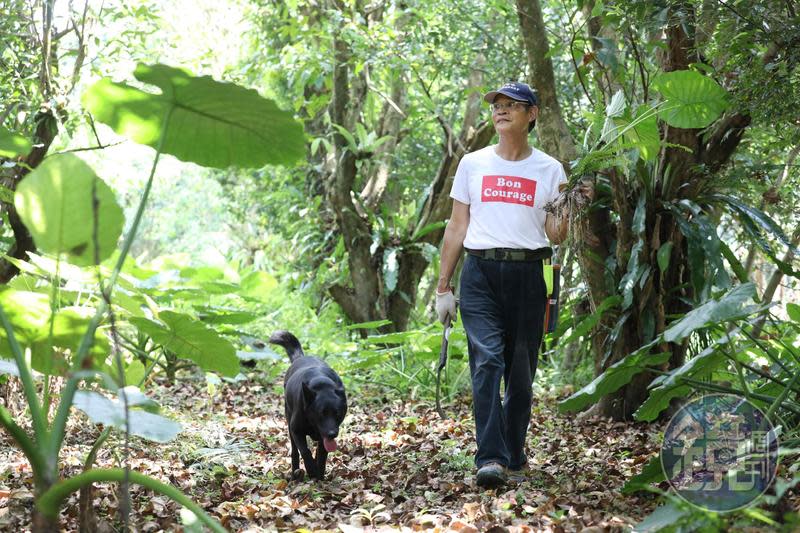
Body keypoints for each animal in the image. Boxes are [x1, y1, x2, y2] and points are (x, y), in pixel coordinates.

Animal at [268, 330, 346, 480]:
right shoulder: (296, 430)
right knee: (295, 451)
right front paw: (311, 471)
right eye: (321, 414)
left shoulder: (323, 438)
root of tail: (301, 357)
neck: (322, 384)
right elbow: (305, 451)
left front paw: (319, 475)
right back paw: (295, 473)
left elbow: (322, 455)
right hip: (289, 424)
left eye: (337, 413)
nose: (332, 434)